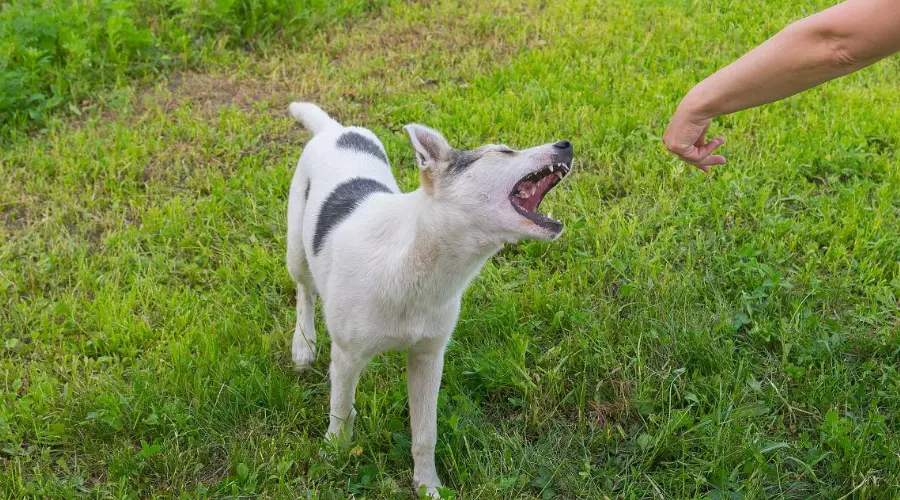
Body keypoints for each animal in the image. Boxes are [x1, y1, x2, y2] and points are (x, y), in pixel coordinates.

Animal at [284, 102, 572, 496]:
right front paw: (334, 454)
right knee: (304, 291)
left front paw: (427, 485)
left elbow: (425, 432)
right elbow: (341, 410)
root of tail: (335, 130)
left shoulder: (428, 357)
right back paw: (303, 344)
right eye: (504, 151)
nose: (566, 144)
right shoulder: (345, 357)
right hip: (296, 247)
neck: (415, 259)